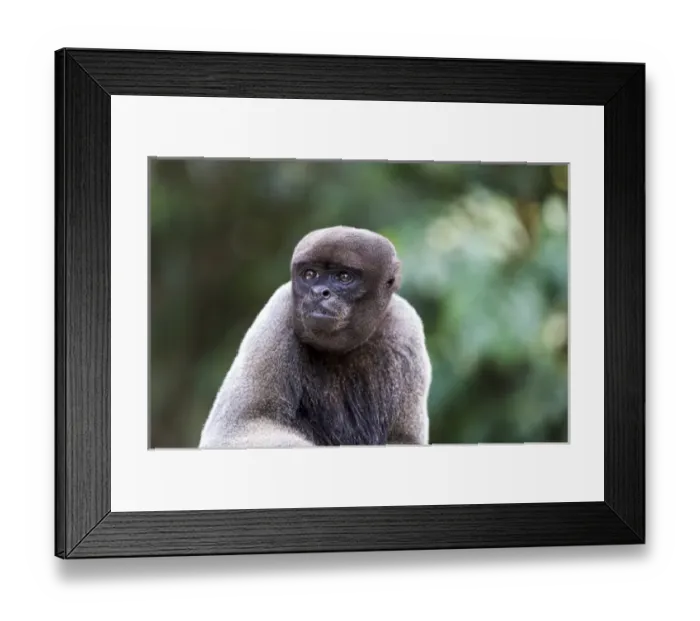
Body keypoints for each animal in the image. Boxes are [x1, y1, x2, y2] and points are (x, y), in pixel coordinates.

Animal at [198, 225, 432, 449]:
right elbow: (237, 428)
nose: (319, 292)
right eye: (310, 275)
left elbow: (404, 439)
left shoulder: (406, 328)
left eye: (344, 277)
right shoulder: (277, 312)